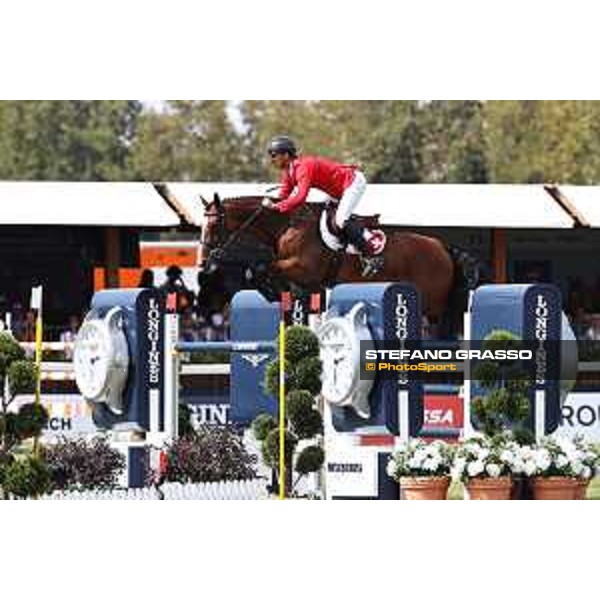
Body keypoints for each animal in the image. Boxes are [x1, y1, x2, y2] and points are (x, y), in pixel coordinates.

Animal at [199, 195, 476, 330]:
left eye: (213, 224)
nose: (203, 261)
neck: (287, 225)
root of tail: (442, 247)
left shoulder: (303, 269)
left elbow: (261, 267)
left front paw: (272, 289)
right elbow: (262, 272)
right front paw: (275, 294)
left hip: (434, 305)